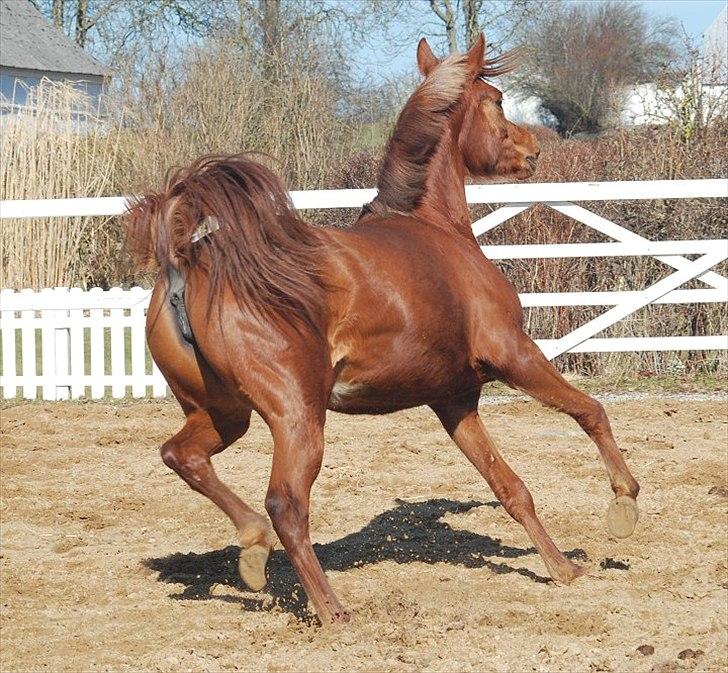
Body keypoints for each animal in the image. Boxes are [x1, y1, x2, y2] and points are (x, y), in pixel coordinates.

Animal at [125, 34, 636, 624]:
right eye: (498, 101)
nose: (532, 148)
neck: (436, 229)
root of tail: (189, 263)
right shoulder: (514, 354)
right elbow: (589, 411)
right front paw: (624, 503)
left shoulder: (454, 398)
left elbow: (509, 486)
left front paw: (562, 569)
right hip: (298, 417)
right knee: (285, 504)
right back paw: (332, 610)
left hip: (225, 413)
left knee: (182, 457)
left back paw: (253, 551)